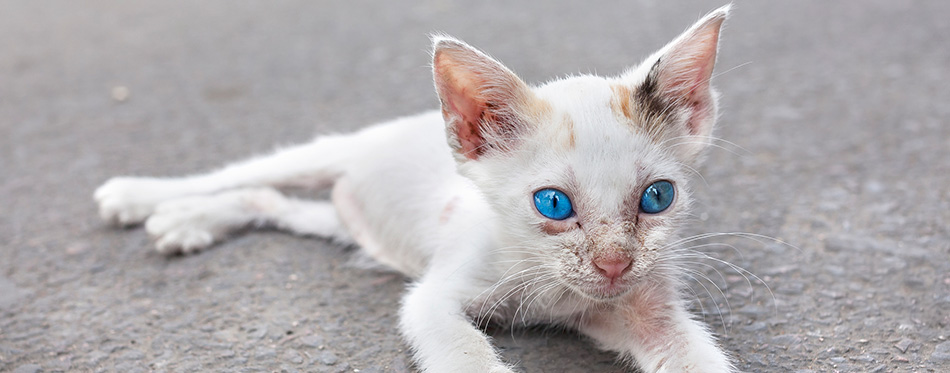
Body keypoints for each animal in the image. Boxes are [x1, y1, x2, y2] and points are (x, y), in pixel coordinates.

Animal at [95, 5, 736, 372]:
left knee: (269, 201)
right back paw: (142, 198)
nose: (614, 264)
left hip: (341, 221)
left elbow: (694, 356)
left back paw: (190, 222)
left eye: (657, 197)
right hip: (321, 155)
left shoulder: (644, 310)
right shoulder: (433, 299)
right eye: (553, 203)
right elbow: (465, 354)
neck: (554, 291)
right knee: (241, 177)